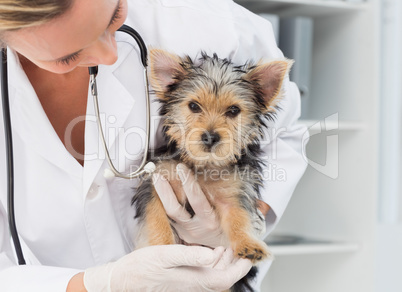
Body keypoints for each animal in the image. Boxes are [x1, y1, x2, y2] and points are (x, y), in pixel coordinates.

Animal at [132, 49, 292, 290]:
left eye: (234, 110)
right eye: (194, 106)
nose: (210, 136)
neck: (204, 165)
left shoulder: (234, 191)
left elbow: (238, 218)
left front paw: (248, 243)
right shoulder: (155, 184)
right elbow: (156, 219)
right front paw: (160, 253)